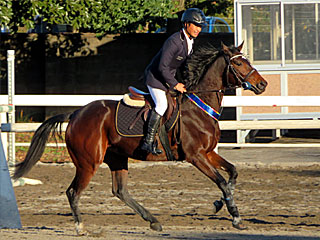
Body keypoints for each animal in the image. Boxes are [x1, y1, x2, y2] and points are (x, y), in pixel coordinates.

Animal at [13, 40, 268, 234]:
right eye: (238, 62)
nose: (263, 84)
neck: (200, 105)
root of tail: (76, 113)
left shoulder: (208, 153)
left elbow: (232, 174)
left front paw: (220, 204)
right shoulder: (195, 156)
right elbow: (222, 182)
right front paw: (235, 217)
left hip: (117, 158)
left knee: (120, 191)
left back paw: (153, 221)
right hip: (88, 162)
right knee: (73, 192)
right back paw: (80, 227)